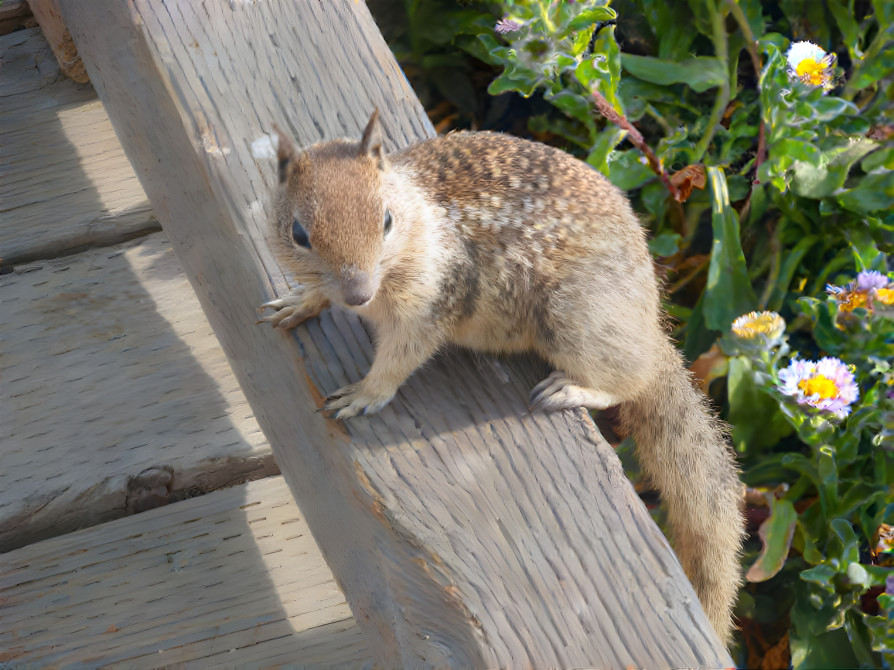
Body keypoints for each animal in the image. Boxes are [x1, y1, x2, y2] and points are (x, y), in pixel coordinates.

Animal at [260, 110, 748, 644]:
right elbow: (315, 295)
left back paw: (575, 388)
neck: (418, 217)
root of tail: (645, 316)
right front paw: (302, 301)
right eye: (299, 233)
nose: (357, 294)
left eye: (385, 221)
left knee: (630, 376)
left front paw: (365, 394)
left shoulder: (429, 304)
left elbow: (399, 358)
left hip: (574, 317)